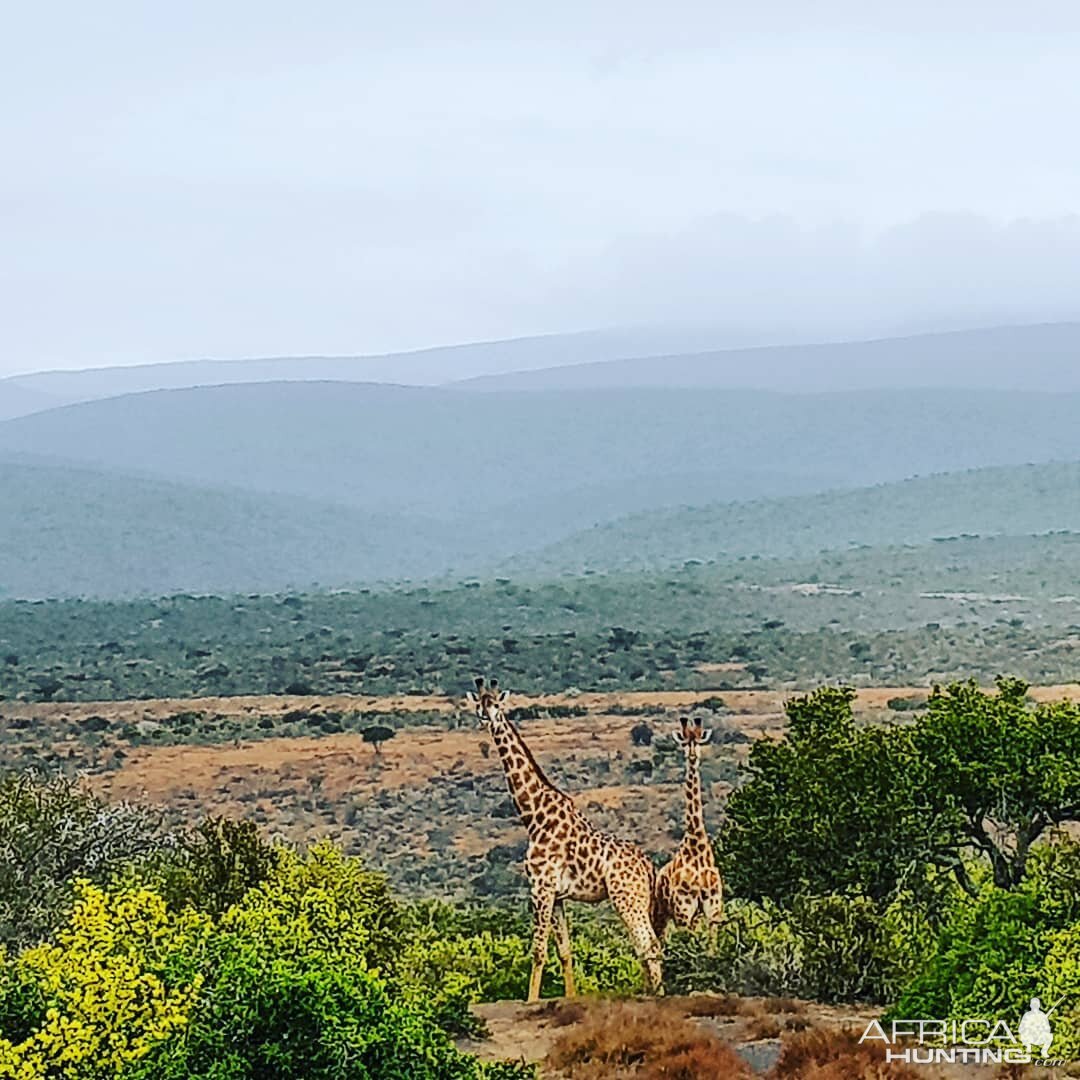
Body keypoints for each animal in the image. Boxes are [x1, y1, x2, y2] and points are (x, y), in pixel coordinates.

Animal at [468, 673, 660, 1002]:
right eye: (479, 704)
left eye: (496, 705)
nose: (485, 718)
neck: (533, 815)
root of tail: (648, 867)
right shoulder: (557, 896)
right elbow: (565, 952)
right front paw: (569, 997)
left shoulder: (540, 888)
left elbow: (538, 951)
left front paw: (531, 1001)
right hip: (637, 899)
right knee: (646, 945)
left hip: (626, 897)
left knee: (649, 944)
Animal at [648, 717, 725, 946]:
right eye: (684, 742)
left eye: (699, 741)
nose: (692, 756)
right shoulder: (684, 910)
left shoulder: (712, 908)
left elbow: (711, 947)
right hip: (661, 913)